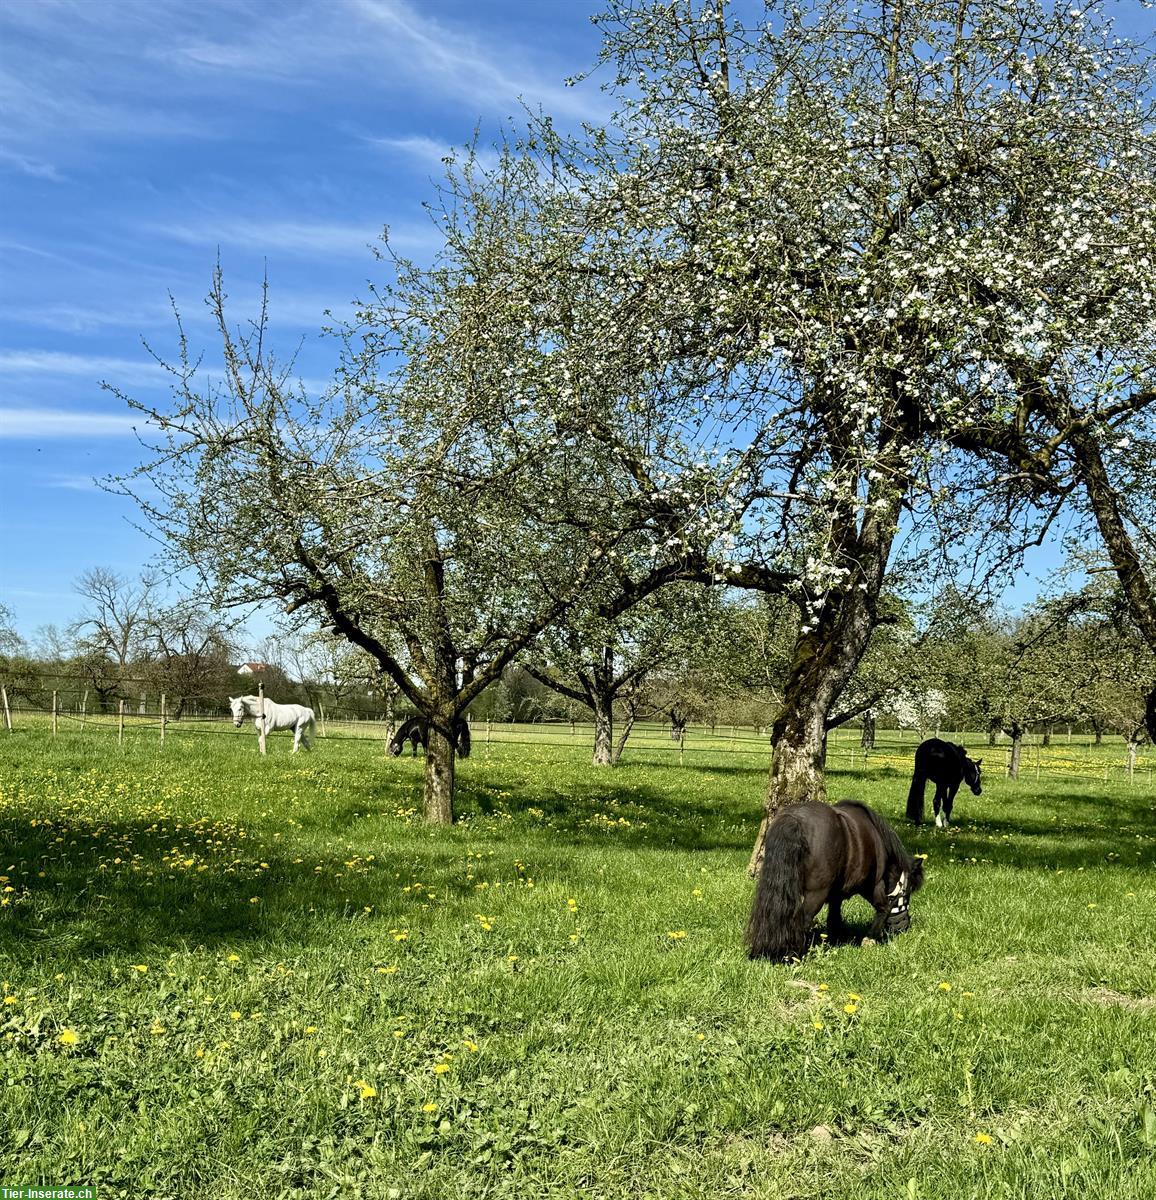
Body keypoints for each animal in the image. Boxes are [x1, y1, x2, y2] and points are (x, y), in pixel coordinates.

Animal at [744, 801, 926, 960]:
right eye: (908, 892)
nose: (903, 926)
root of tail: (794, 820)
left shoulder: (836, 894)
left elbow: (834, 916)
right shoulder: (875, 885)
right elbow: (883, 907)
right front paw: (870, 939)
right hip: (816, 893)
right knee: (803, 919)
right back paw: (795, 955)